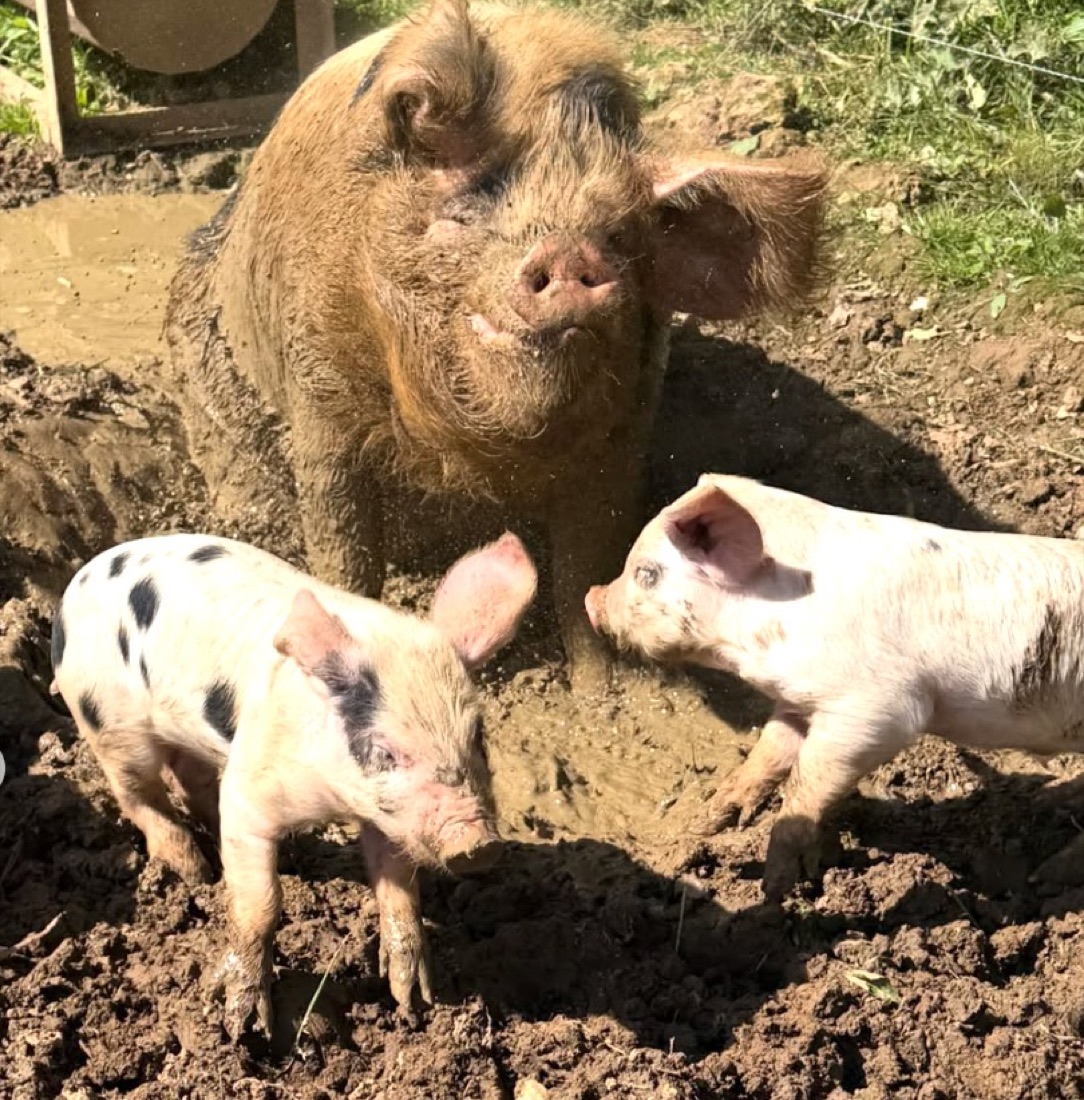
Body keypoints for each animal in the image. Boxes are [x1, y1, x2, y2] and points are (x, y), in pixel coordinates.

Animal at [50, 530, 537, 1037]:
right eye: (384, 751)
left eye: (478, 736)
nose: (478, 844)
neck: (336, 799)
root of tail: (77, 582)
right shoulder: (250, 790)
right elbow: (260, 902)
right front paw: (241, 1024)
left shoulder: (388, 819)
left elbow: (399, 887)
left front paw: (413, 999)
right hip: (107, 722)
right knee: (138, 795)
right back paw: (193, 872)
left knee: (190, 778)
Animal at [165, 0, 828, 692]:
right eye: (463, 213)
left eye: (620, 234)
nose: (569, 253)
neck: (469, 462)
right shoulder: (318, 404)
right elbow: (343, 550)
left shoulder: (621, 441)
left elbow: (583, 570)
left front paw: (601, 696)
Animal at [586, 474, 1084, 901]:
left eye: (646, 573)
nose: (591, 599)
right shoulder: (797, 700)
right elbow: (768, 754)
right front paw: (708, 820)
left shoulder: (878, 708)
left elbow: (808, 780)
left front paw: (776, 889)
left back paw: (1045, 878)